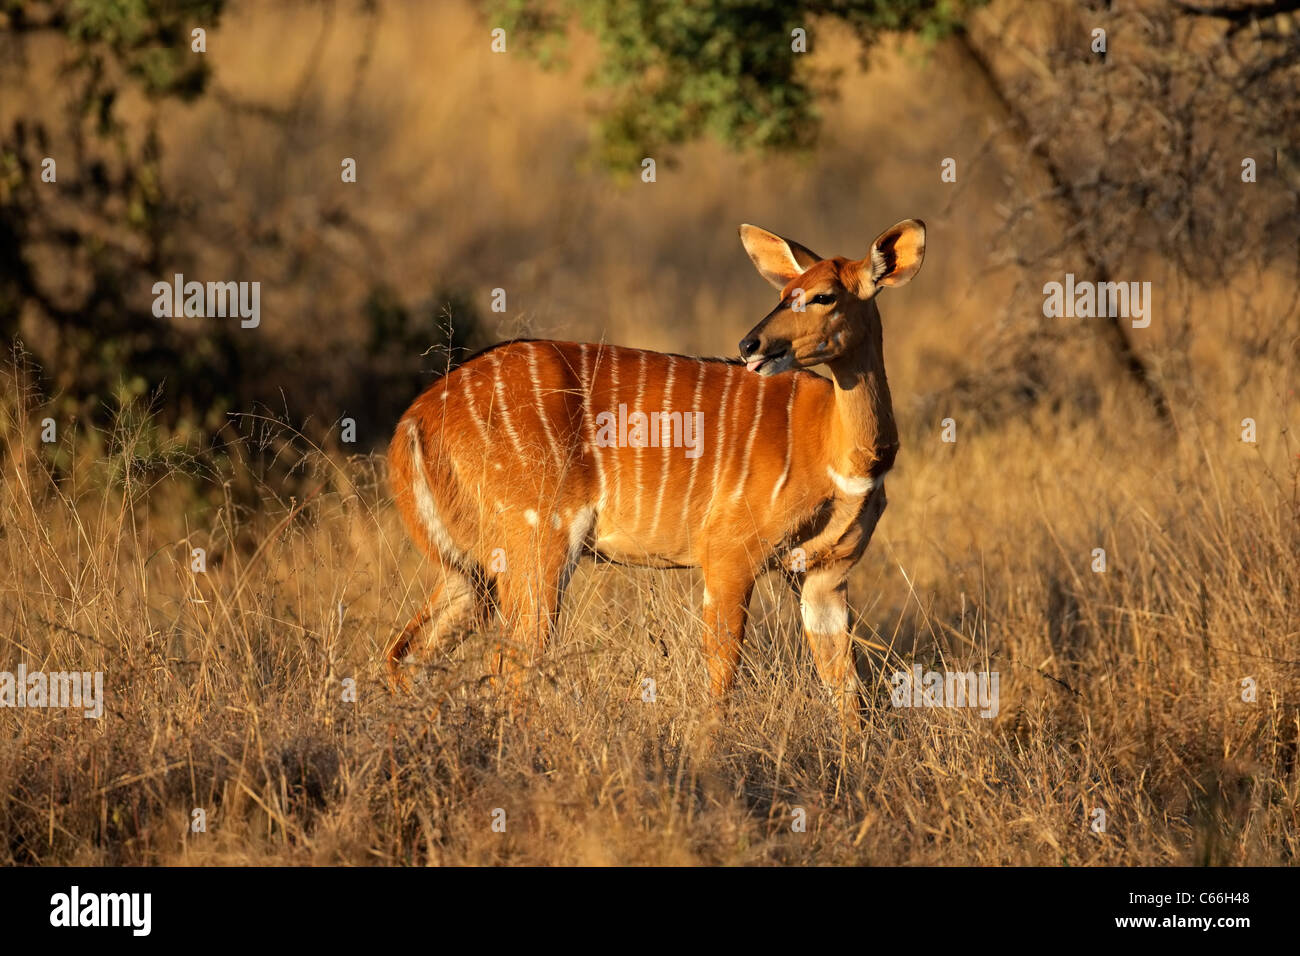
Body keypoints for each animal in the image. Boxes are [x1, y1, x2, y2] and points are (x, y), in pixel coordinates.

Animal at [384, 214, 925, 712]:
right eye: (785, 291)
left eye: (824, 296)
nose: (750, 345)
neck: (836, 450)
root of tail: (414, 420)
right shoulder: (728, 556)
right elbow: (721, 683)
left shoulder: (825, 575)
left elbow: (845, 691)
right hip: (537, 546)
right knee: (512, 663)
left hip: (470, 570)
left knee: (406, 652)